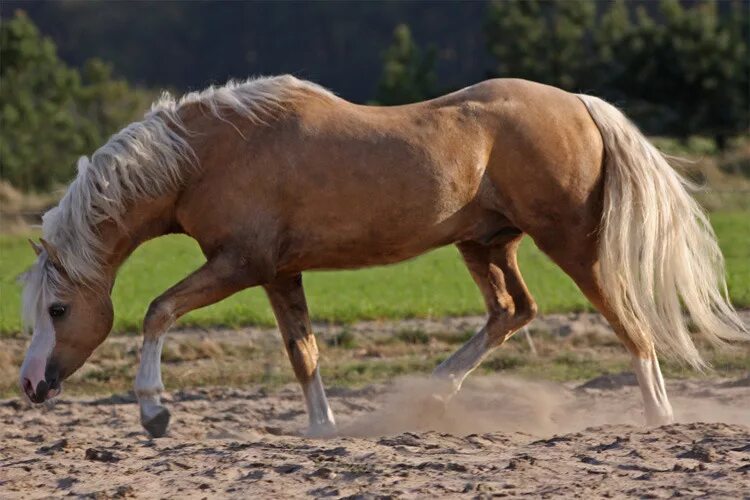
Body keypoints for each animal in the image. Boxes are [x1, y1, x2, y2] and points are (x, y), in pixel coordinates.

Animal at [20, 75, 748, 438]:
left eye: (58, 309)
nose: (29, 386)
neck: (205, 154)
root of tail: (581, 104)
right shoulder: (279, 272)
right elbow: (304, 352)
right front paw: (323, 429)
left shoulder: (240, 264)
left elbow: (157, 311)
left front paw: (154, 412)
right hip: (485, 244)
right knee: (513, 311)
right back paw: (435, 390)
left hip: (570, 243)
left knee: (631, 326)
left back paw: (658, 414)